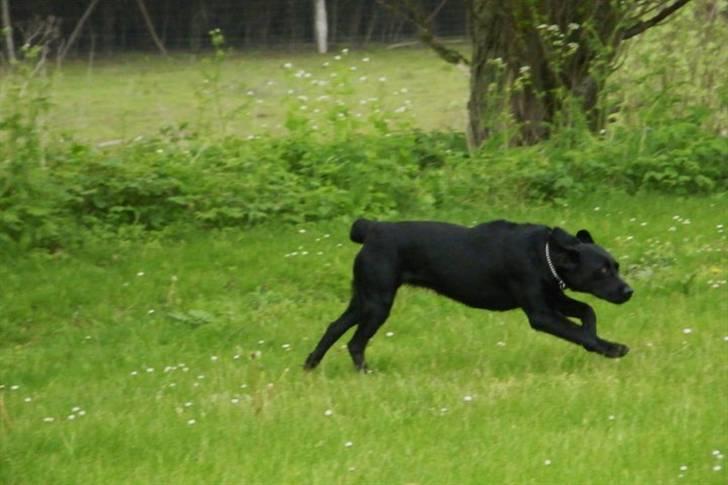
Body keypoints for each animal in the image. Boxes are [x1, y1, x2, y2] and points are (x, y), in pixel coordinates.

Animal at [302, 217, 632, 372]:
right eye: (602, 271)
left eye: (615, 266)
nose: (629, 291)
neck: (547, 253)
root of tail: (372, 229)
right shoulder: (541, 314)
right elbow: (577, 330)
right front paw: (608, 348)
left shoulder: (554, 299)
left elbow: (588, 312)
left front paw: (599, 340)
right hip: (378, 303)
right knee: (355, 342)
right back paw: (366, 373)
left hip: (364, 299)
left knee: (334, 328)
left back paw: (310, 365)